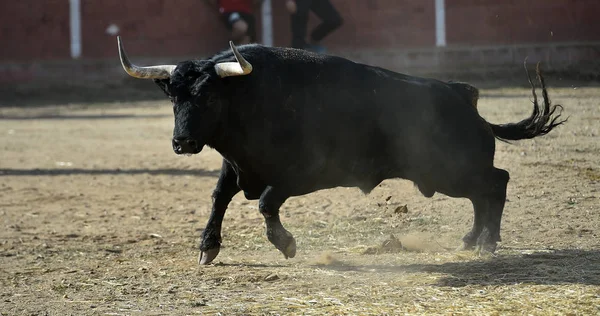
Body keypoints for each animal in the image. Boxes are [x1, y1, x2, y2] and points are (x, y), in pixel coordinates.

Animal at [116, 36, 564, 264]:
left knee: (496, 184)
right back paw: (472, 239)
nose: (183, 143)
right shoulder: (236, 166)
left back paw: (488, 242)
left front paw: (286, 244)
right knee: (482, 194)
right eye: (173, 97)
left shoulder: (301, 174)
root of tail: (464, 98)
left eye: (208, 96)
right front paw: (208, 247)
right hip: (446, 174)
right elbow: (218, 198)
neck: (250, 97)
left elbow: (265, 203)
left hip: (453, 170)